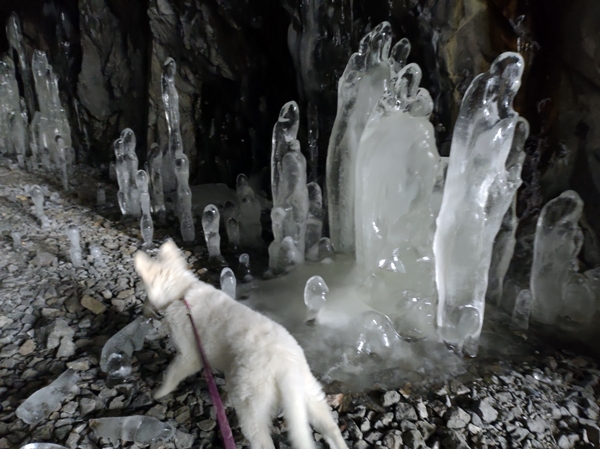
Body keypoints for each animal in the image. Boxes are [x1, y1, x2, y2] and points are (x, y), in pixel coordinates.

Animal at [132, 242, 346, 448]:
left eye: (146, 292)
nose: (143, 310)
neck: (182, 292)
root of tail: (286, 366)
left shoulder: (188, 354)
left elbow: (172, 373)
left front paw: (158, 392)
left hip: (251, 402)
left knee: (262, 441)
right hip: (310, 391)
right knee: (330, 428)